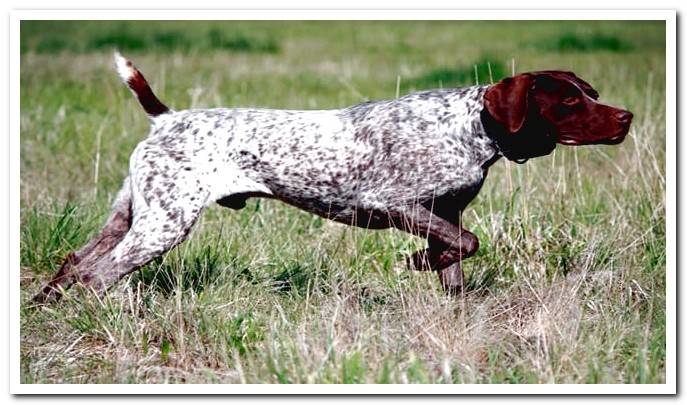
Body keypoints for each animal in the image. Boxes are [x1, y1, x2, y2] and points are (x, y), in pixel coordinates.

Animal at [32, 51, 636, 304]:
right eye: (567, 101)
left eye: (591, 92)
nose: (627, 117)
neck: (473, 127)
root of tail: (166, 117)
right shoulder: (395, 204)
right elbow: (466, 242)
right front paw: (417, 261)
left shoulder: (441, 213)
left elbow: (456, 259)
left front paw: (436, 278)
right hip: (163, 224)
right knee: (98, 274)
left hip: (133, 216)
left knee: (75, 262)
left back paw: (44, 308)